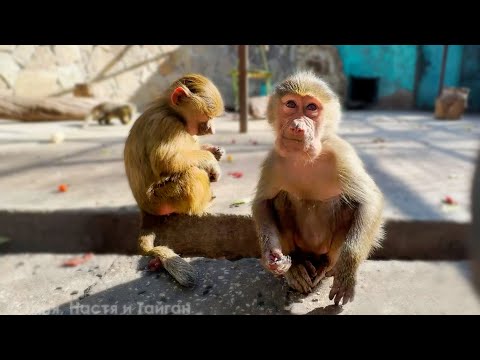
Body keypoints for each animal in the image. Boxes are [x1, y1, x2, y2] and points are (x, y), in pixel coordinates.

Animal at [125, 73, 227, 286]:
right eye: (207, 119)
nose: (212, 130)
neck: (170, 110)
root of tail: (145, 210)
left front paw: (214, 151)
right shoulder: (168, 125)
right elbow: (167, 160)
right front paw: (211, 160)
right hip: (162, 198)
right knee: (192, 173)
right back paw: (201, 206)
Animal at [253, 71, 384, 306]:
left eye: (311, 108)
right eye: (291, 104)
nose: (297, 125)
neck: (305, 157)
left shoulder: (341, 154)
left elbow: (369, 202)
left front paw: (347, 271)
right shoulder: (274, 159)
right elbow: (262, 203)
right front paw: (271, 256)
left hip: (326, 248)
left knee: (349, 204)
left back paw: (326, 265)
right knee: (280, 198)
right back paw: (297, 265)